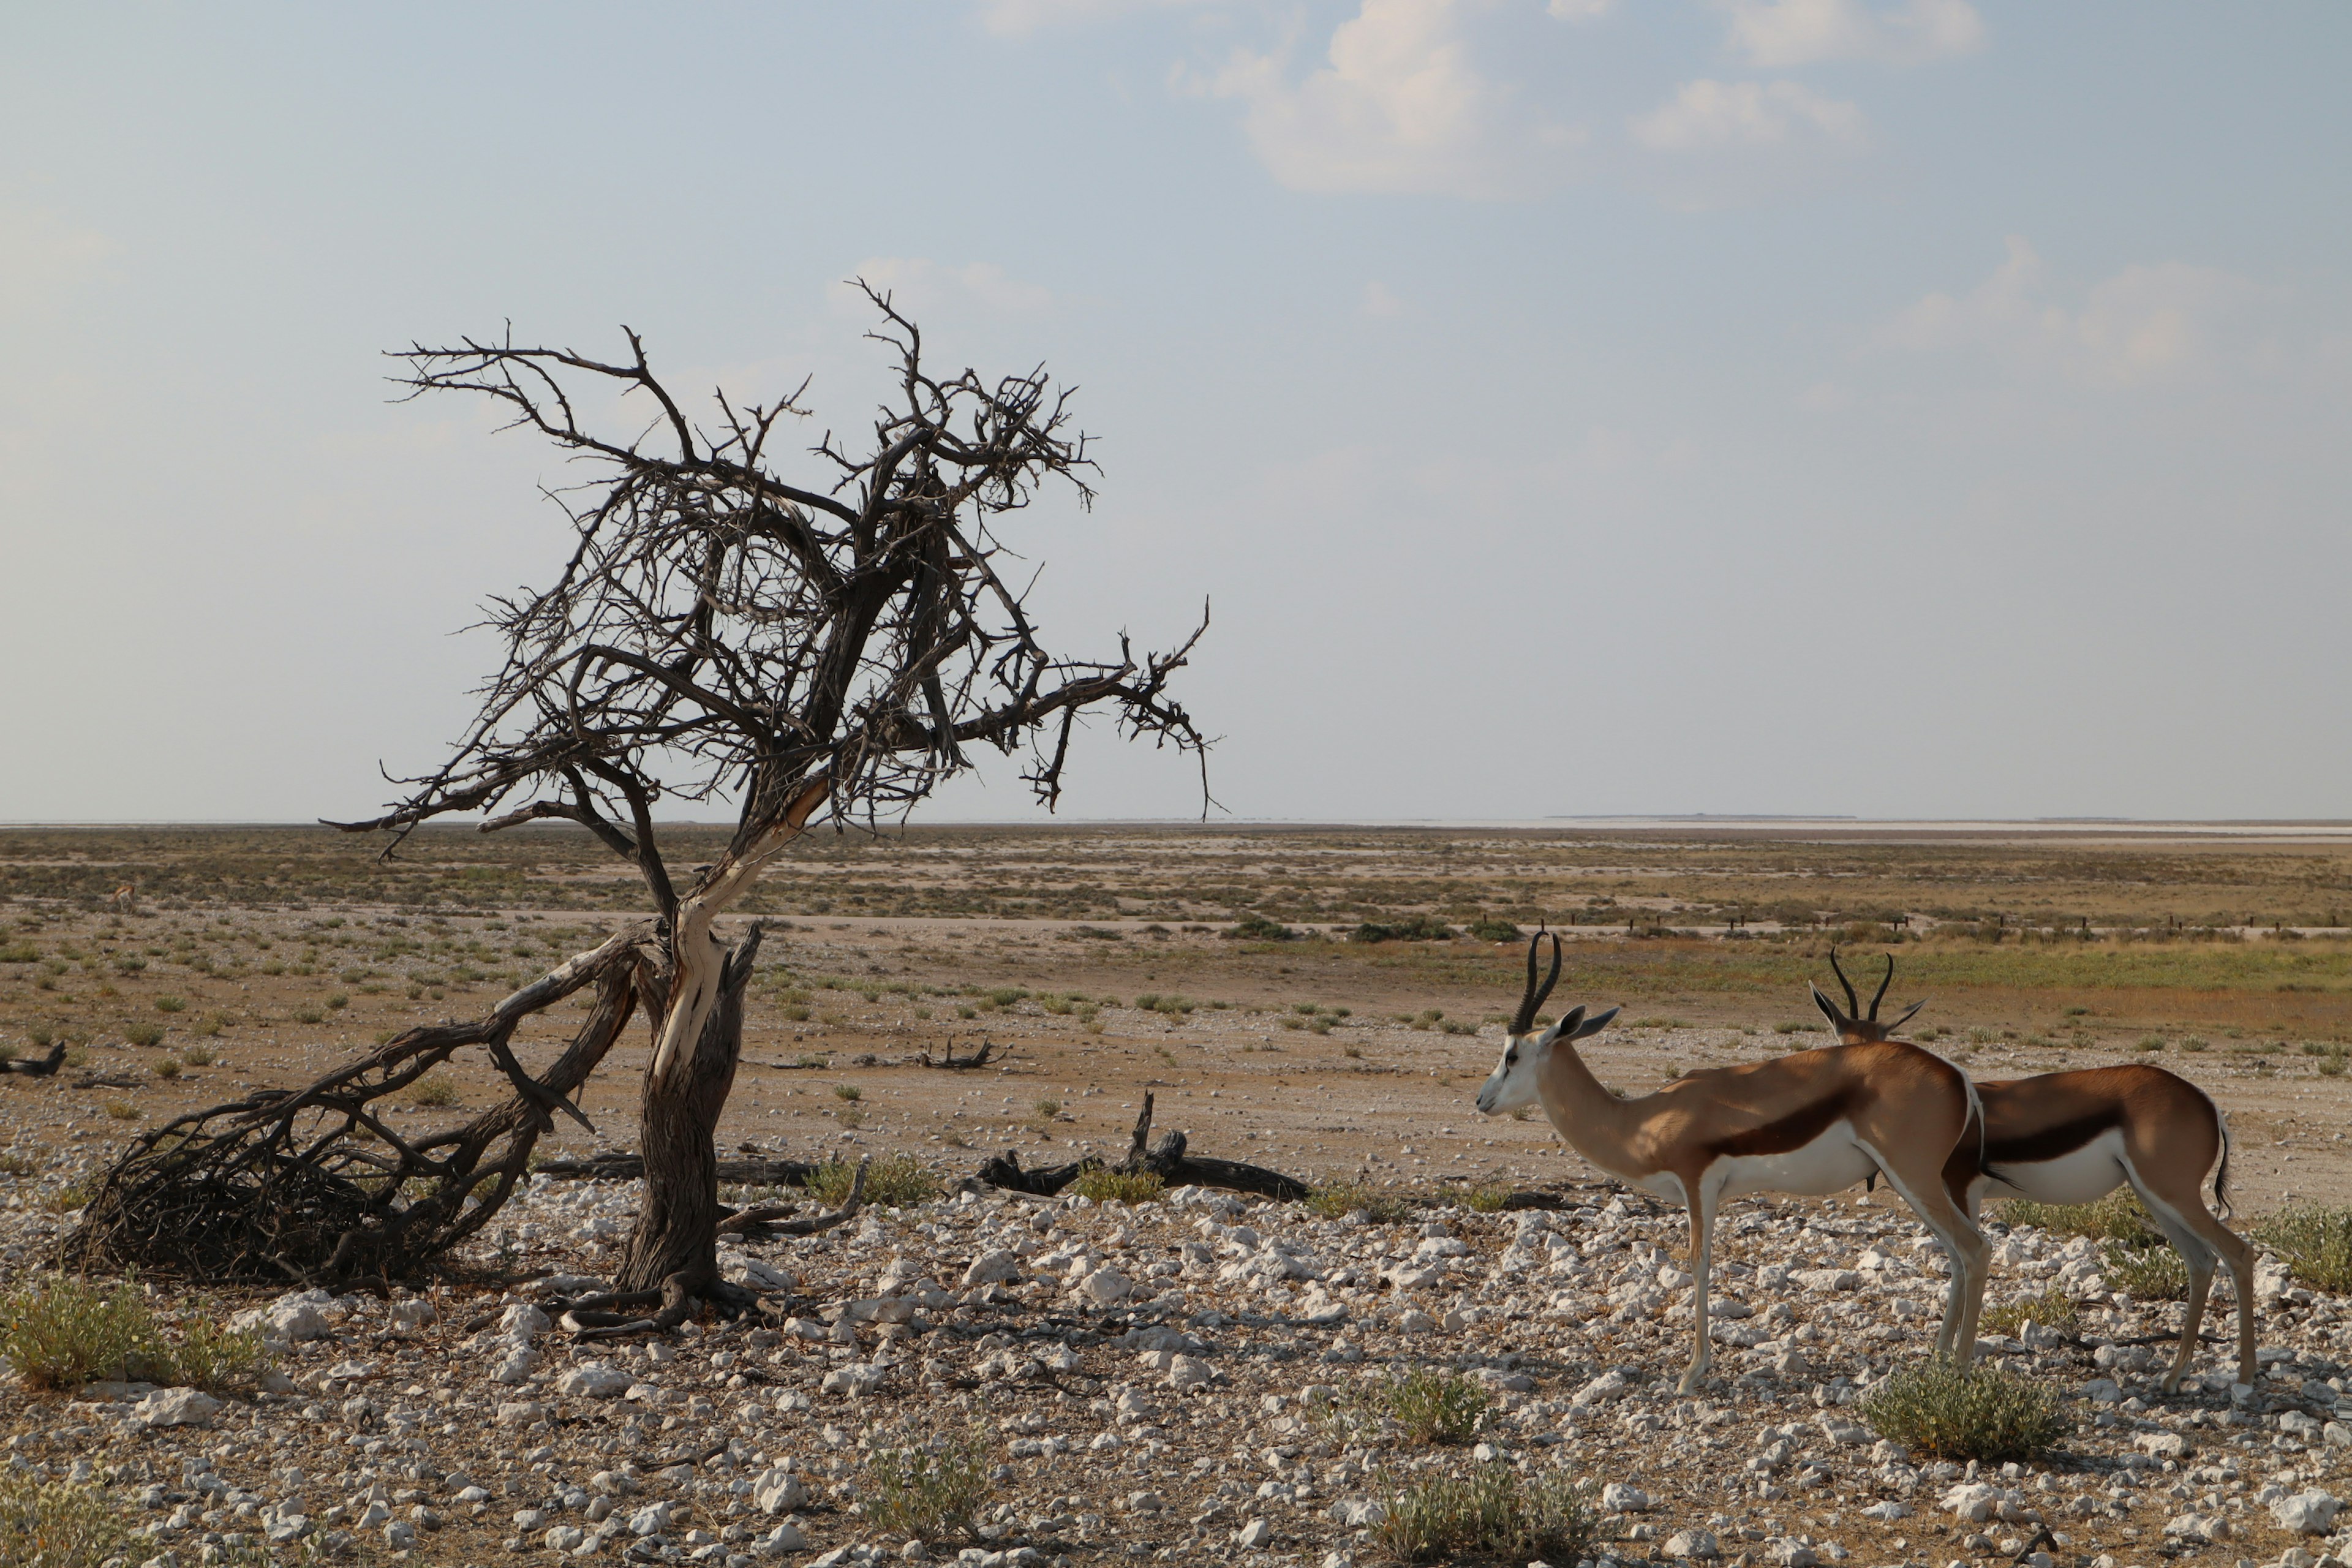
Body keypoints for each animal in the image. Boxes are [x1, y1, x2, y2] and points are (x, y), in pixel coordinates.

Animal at [1468, 930, 1985, 1382]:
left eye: (1511, 1055)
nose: (1481, 1100)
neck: (1641, 1119)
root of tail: (1957, 1076)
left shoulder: (1698, 1184)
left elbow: (1699, 1264)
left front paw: (1692, 1373)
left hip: (1913, 1176)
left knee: (1975, 1249)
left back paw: (1959, 1370)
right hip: (1916, 1183)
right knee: (1956, 1255)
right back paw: (1936, 1361)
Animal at [1806, 949, 2248, 1392]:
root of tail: (2206, 1103)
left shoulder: (1962, 1190)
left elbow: (1965, 1263)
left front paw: (1950, 1367)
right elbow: (1957, 1264)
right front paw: (1939, 1364)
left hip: (2173, 1195)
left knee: (2239, 1253)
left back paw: (2245, 1377)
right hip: (2154, 1197)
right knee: (2202, 1263)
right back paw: (2175, 1376)